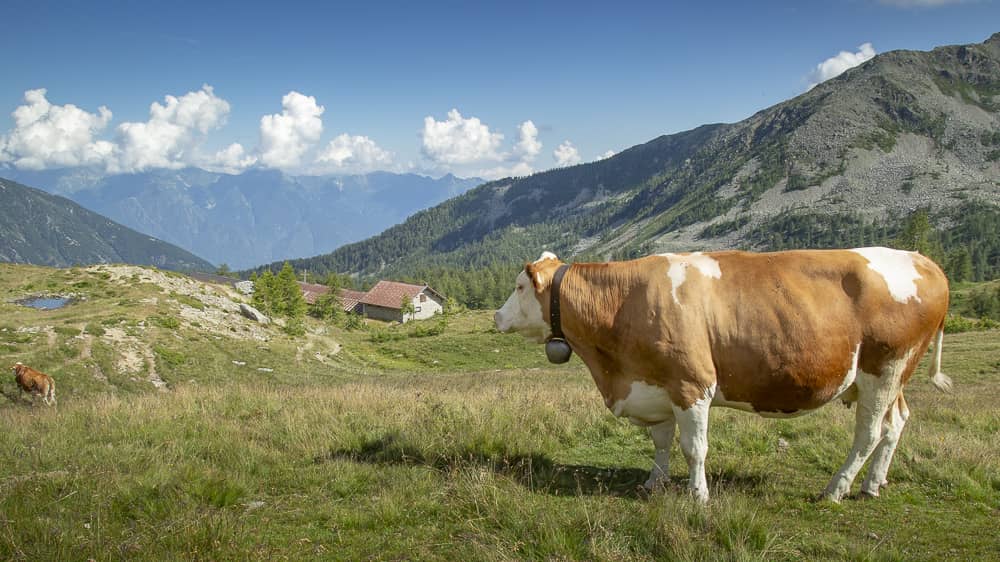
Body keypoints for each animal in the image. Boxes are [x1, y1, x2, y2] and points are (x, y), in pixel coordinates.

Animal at [496, 247, 948, 500]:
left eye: (519, 287)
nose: (497, 316)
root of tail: (922, 261)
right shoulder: (655, 385)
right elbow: (661, 442)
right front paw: (654, 483)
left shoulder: (691, 384)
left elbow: (694, 448)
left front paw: (698, 495)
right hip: (890, 377)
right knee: (895, 423)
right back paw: (873, 485)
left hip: (883, 370)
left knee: (868, 433)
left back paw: (836, 489)